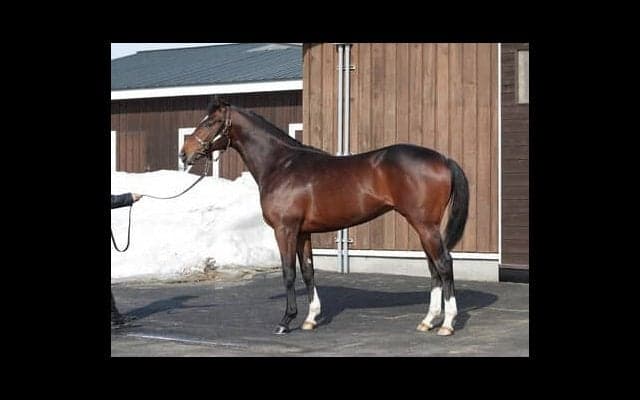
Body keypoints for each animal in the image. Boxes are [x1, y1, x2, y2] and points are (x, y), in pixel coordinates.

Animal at [179, 97, 469, 336]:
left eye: (211, 122)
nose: (185, 153)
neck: (280, 164)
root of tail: (443, 159)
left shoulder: (285, 229)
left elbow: (288, 272)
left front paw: (286, 321)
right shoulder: (303, 232)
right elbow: (308, 271)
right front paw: (310, 318)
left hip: (425, 225)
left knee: (444, 264)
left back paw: (446, 324)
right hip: (423, 226)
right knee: (433, 267)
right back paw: (428, 321)